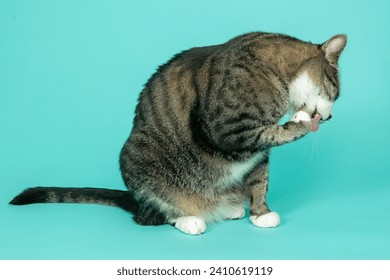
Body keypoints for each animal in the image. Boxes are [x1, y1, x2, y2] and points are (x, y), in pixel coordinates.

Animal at [10, 31, 348, 235]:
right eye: (335, 92)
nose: (331, 117)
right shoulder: (226, 131)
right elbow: (273, 134)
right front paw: (300, 120)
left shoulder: (256, 153)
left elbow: (258, 179)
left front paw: (260, 213)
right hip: (138, 158)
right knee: (153, 216)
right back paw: (187, 218)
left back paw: (229, 208)